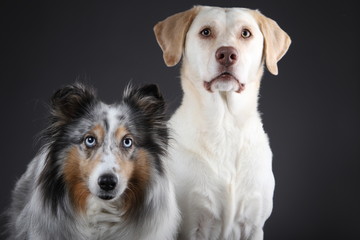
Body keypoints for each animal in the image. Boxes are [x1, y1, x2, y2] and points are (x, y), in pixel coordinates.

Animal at [153, 5, 292, 240]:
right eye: (206, 32)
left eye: (245, 33)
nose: (227, 54)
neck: (225, 125)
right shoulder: (191, 225)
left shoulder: (254, 225)